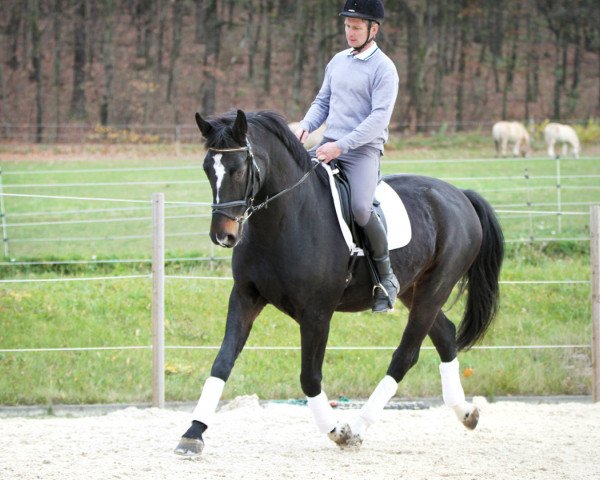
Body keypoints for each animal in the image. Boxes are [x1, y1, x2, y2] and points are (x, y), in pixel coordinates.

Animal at [173, 109, 502, 458]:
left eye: (238, 169)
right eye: (208, 169)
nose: (223, 236)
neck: (283, 220)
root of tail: (460, 195)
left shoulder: (317, 313)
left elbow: (309, 377)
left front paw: (337, 431)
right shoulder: (245, 297)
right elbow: (222, 362)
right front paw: (193, 433)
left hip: (434, 289)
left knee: (406, 355)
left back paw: (358, 427)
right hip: (414, 290)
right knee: (445, 335)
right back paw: (466, 413)